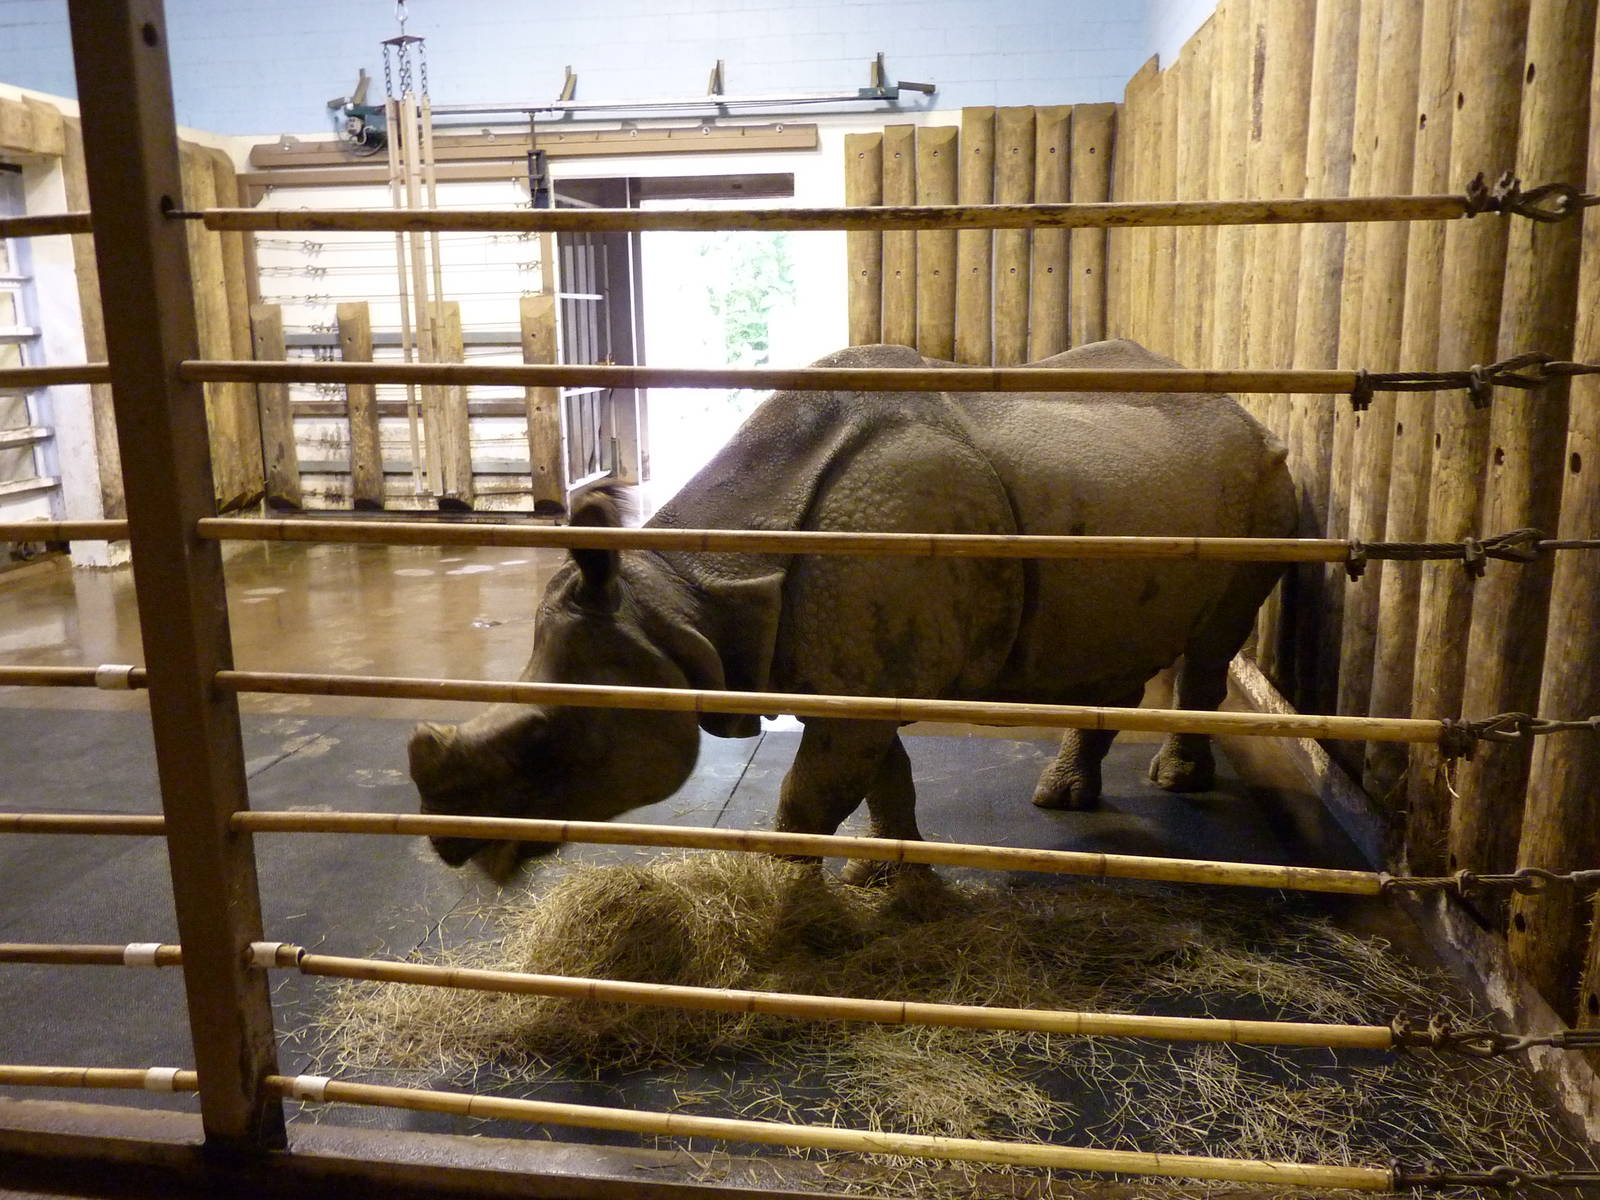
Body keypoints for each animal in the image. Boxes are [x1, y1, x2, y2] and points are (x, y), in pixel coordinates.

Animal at [409, 339, 1296, 881]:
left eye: (546, 740)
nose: (449, 845)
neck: (680, 600)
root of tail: (1242, 408)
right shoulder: (854, 677)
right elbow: (879, 778)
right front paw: (887, 876)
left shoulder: (859, 680)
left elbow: (813, 794)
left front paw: (775, 899)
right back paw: (1061, 796)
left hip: (1266, 482)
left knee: (1213, 644)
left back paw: (1175, 782)